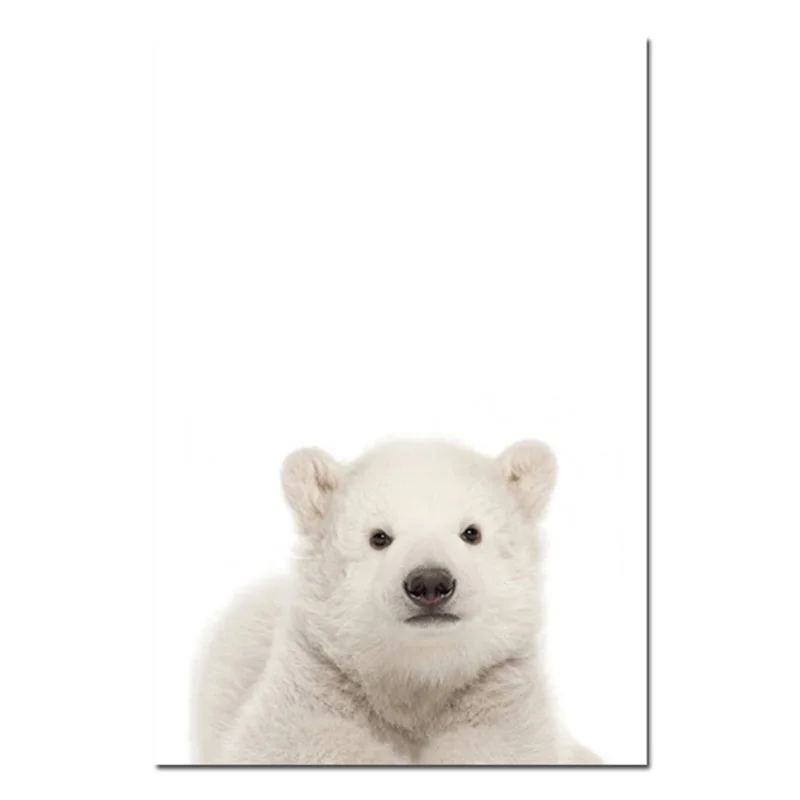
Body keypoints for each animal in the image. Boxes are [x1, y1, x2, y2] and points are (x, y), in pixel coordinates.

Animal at [191, 438, 602, 765]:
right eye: (379, 537)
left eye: (472, 532)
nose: (430, 583)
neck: (415, 682)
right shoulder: (318, 676)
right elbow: (289, 740)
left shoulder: (497, 687)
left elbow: (504, 744)